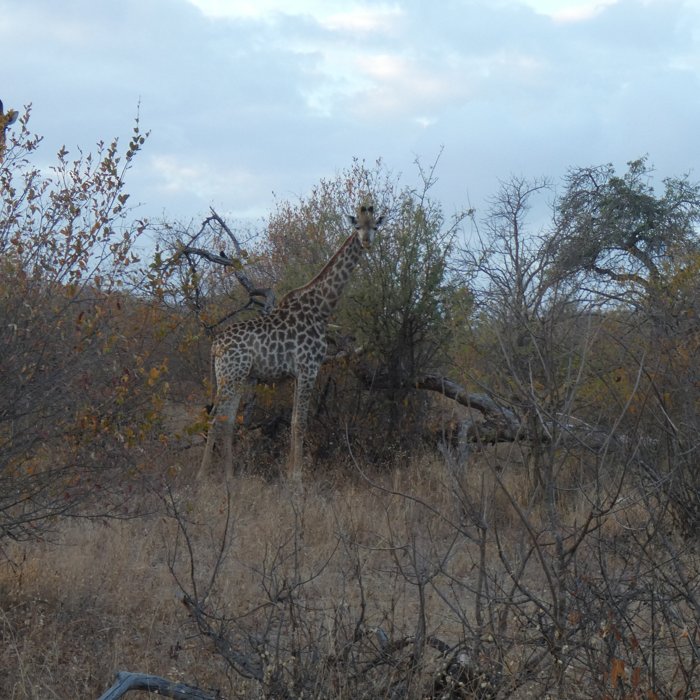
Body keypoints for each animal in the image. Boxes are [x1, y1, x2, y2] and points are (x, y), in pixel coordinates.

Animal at [198, 204, 383, 481]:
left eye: (375, 227)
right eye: (357, 226)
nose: (366, 241)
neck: (322, 308)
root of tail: (215, 346)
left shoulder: (298, 373)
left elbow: (295, 419)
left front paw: (289, 474)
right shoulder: (309, 368)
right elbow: (299, 422)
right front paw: (297, 479)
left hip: (236, 376)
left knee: (227, 420)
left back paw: (229, 477)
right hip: (230, 374)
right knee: (213, 418)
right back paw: (202, 477)